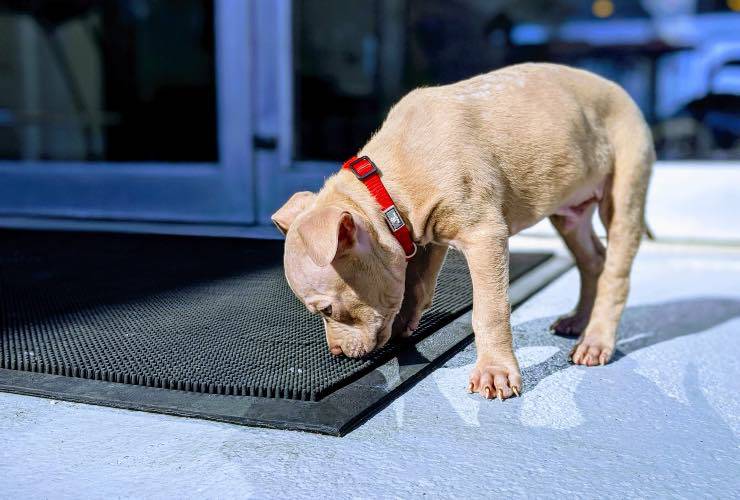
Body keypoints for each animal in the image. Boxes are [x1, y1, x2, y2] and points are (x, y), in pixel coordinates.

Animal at [274, 62, 652, 400]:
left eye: (326, 310)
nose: (336, 353)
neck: (385, 187)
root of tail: (621, 91)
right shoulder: (425, 232)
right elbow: (416, 284)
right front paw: (405, 323)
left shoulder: (485, 234)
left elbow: (489, 311)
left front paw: (495, 372)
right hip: (569, 211)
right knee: (593, 260)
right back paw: (578, 321)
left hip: (625, 188)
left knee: (616, 272)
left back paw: (596, 340)